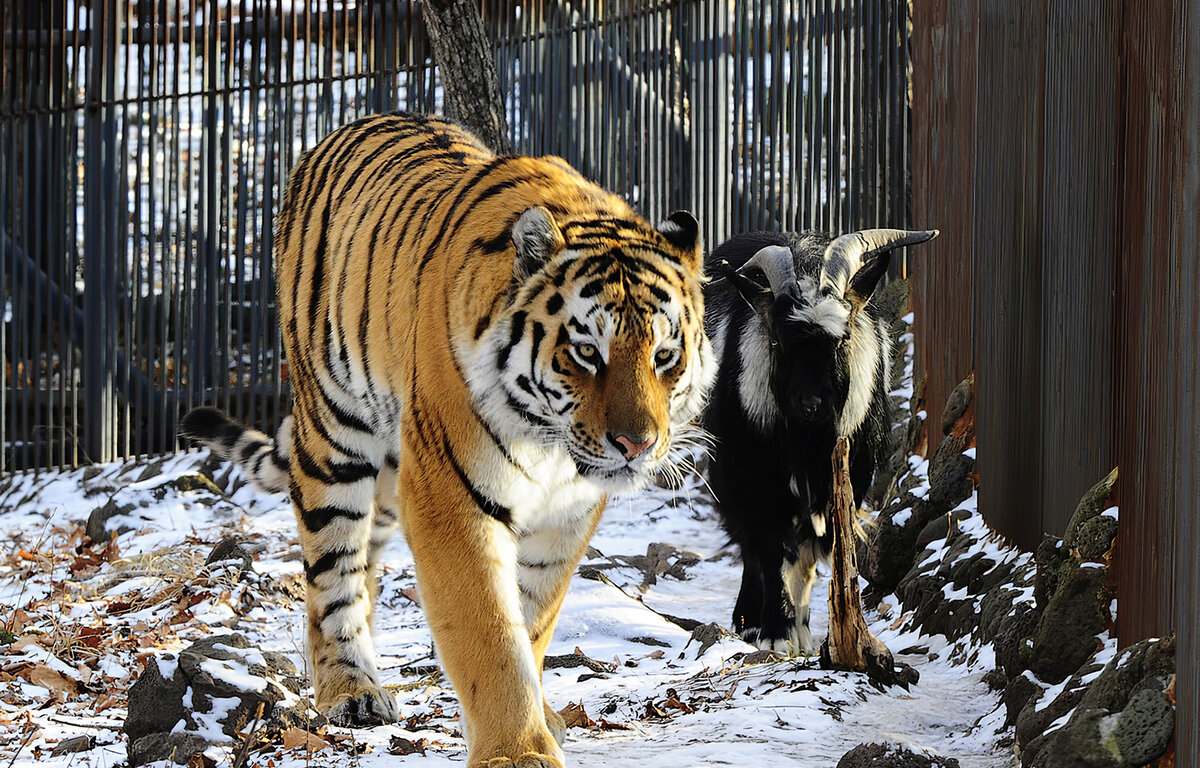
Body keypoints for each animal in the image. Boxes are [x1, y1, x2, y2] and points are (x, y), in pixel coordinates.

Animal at [180, 111, 710, 763]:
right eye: (587, 352)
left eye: (665, 356)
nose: (637, 445)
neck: (550, 444)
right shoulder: (449, 493)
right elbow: (489, 633)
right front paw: (518, 751)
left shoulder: (568, 514)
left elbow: (533, 618)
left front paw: (538, 717)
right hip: (335, 439)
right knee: (331, 574)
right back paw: (349, 690)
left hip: (389, 472)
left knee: (364, 567)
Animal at [700, 228, 936, 652]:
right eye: (778, 340)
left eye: (842, 340)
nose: (810, 404)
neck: (806, 440)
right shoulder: (753, 478)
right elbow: (769, 549)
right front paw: (776, 632)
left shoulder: (842, 481)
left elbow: (806, 558)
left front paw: (801, 630)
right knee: (750, 546)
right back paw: (749, 621)